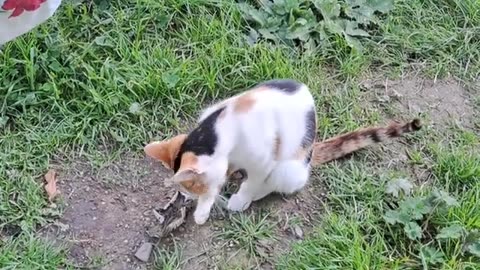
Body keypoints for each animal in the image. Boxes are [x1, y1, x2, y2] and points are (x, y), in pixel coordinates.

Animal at [144, 79, 422, 225]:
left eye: (193, 187)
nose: (187, 197)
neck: (218, 130)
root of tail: (311, 153)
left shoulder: (262, 159)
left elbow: (252, 181)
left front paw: (236, 200)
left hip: (288, 167)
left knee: (275, 182)